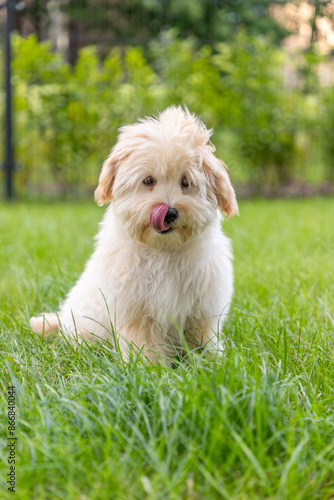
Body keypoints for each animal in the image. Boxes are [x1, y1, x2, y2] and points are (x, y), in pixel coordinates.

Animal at [28, 106, 237, 364]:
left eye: (186, 182)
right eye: (148, 180)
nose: (169, 213)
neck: (163, 251)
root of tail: (63, 317)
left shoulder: (203, 310)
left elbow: (201, 340)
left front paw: (210, 364)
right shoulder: (136, 311)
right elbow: (145, 345)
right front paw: (150, 368)